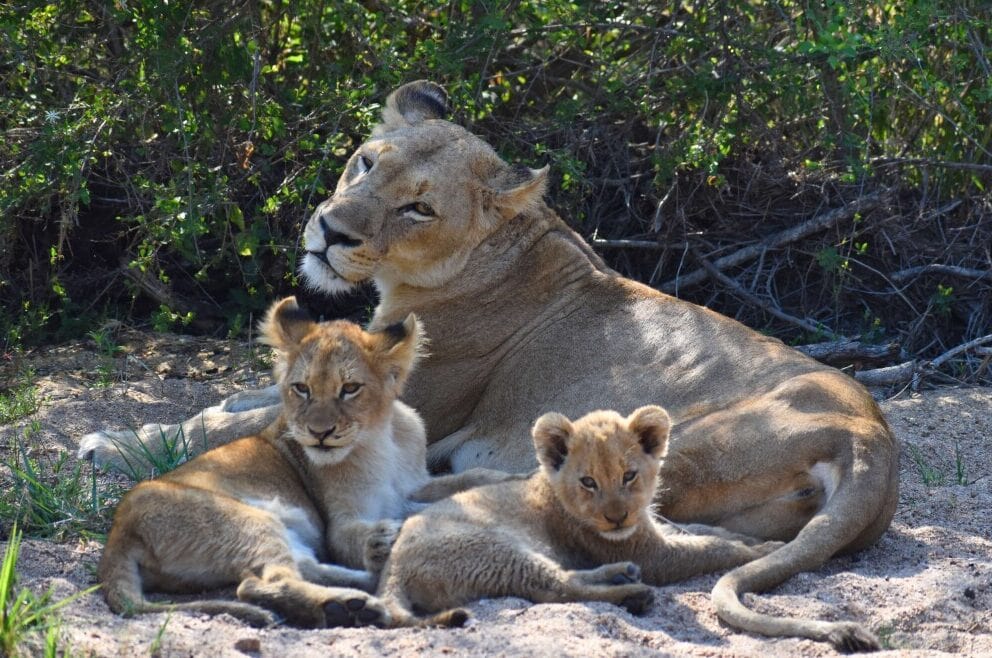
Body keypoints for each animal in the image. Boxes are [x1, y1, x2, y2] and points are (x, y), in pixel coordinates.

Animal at [99, 296, 505, 628]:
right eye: (302, 388)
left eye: (350, 389)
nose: (319, 433)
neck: (381, 439)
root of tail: (120, 529)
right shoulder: (338, 523)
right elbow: (351, 536)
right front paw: (383, 539)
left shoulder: (411, 486)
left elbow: (466, 478)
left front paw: (503, 479)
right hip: (246, 521)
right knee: (260, 583)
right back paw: (351, 606)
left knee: (301, 568)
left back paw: (360, 593)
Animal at [374, 405, 783, 627]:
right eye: (588, 482)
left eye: (628, 475)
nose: (617, 518)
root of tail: (392, 569)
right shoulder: (653, 554)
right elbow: (709, 549)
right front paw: (764, 550)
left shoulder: (649, 529)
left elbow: (699, 530)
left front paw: (747, 538)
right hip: (494, 550)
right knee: (557, 589)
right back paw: (632, 592)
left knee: (566, 579)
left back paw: (621, 575)